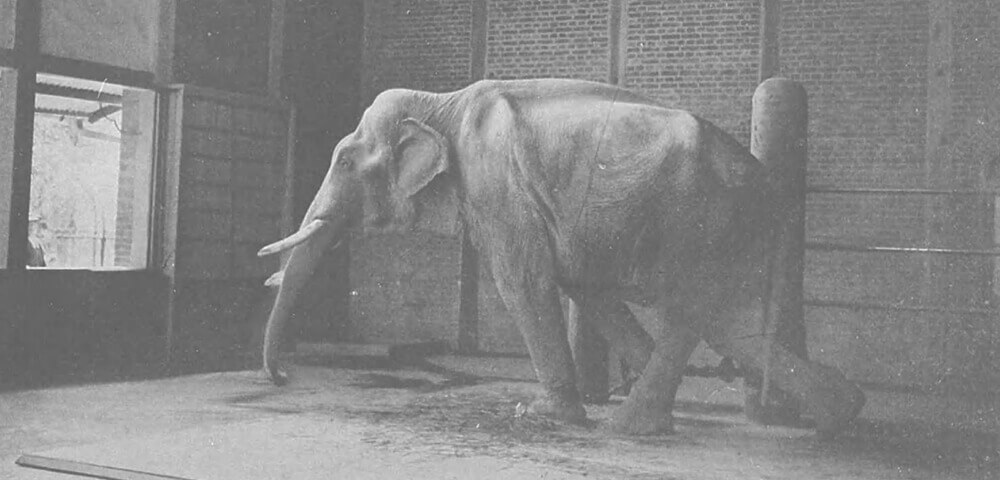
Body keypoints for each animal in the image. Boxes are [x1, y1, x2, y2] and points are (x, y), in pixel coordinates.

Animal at [258, 79, 868, 438]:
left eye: (342, 160)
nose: (282, 376)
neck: (440, 102)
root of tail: (763, 180)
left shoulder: (496, 185)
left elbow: (523, 282)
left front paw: (540, 415)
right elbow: (585, 288)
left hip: (697, 219)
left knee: (693, 312)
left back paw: (629, 425)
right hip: (715, 230)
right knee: (729, 324)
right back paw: (842, 413)